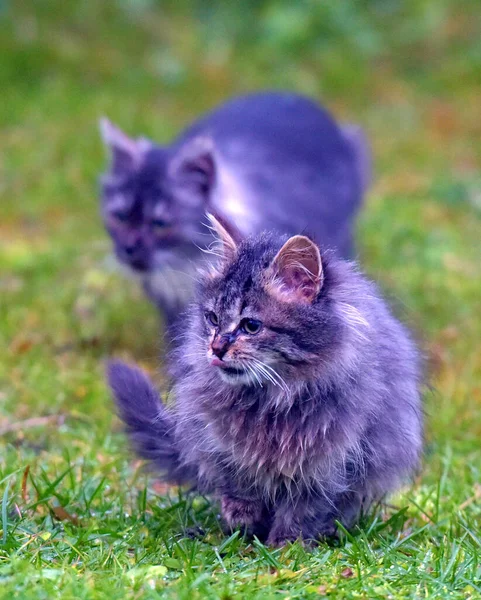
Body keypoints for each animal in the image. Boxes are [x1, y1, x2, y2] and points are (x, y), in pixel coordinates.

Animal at [107, 218, 422, 548]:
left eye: (251, 326)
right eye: (213, 319)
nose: (216, 348)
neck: (271, 398)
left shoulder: (326, 462)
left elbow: (303, 509)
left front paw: (286, 546)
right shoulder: (221, 446)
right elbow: (239, 487)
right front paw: (242, 522)